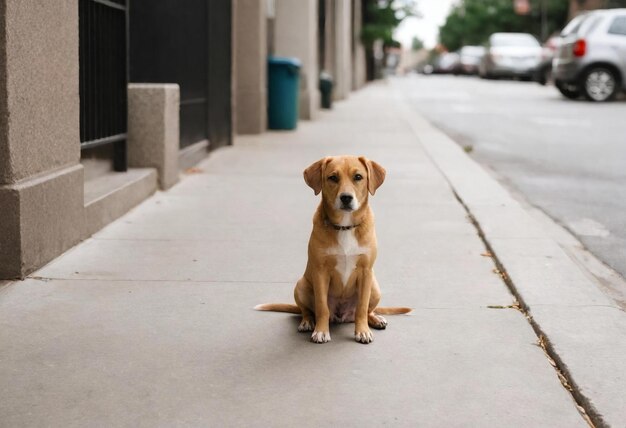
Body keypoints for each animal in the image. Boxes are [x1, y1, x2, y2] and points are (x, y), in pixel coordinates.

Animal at [254, 155, 410, 342]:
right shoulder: (320, 271)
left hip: (374, 286)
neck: (345, 227)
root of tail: (343, 316)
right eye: (333, 178)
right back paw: (307, 322)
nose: (346, 198)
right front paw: (321, 331)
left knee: (367, 310)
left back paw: (375, 319)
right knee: (307, 311)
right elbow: (322, 307)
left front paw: (362, 331)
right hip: (301, 286)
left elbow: (362, 307)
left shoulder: (366, 271)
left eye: (358, 177)